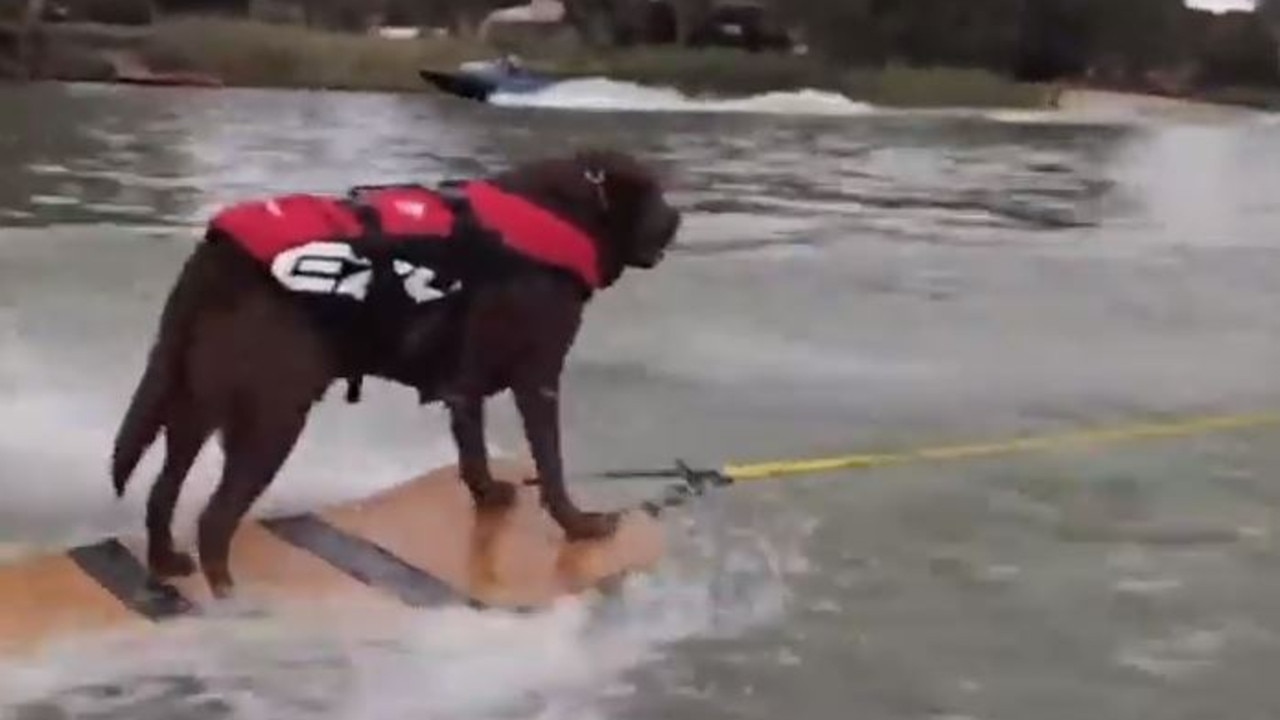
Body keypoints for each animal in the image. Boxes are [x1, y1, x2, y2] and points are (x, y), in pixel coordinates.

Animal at [112, 148, 680, 597]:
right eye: (656, 198)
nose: (676, 219)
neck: (566, 212)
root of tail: (215, 253)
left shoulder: (465, 384)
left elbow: (472, 449)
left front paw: (489, 494)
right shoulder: (538, 377)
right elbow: (551, 462)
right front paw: (581, 525)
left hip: (192, 401)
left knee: (163, 490)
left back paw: (167, 563)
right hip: (273, 416)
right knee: (214, 519)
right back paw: (232, 600)